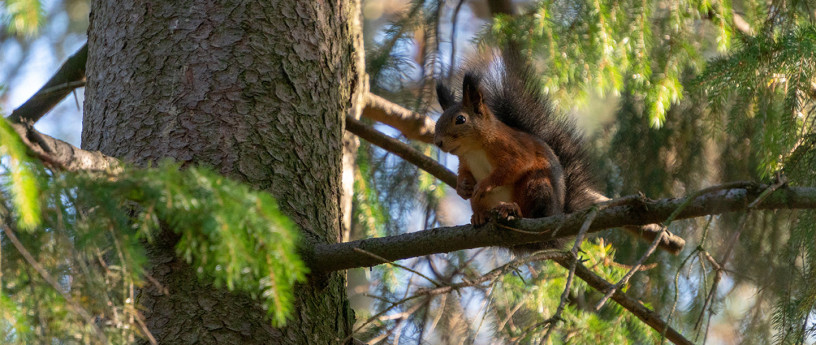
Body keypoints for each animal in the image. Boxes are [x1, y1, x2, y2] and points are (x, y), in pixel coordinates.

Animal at [436, 57, 684, 253]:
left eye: (460, 119)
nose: (438, 142)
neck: (473, 149)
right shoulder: (465, 161)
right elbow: (464, 173)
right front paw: (463, 187)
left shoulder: (511, 147)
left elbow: (514, 166)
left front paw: (485, 183)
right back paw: (480, 216)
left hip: (536, 186)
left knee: (531, 213)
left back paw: (512, 209)